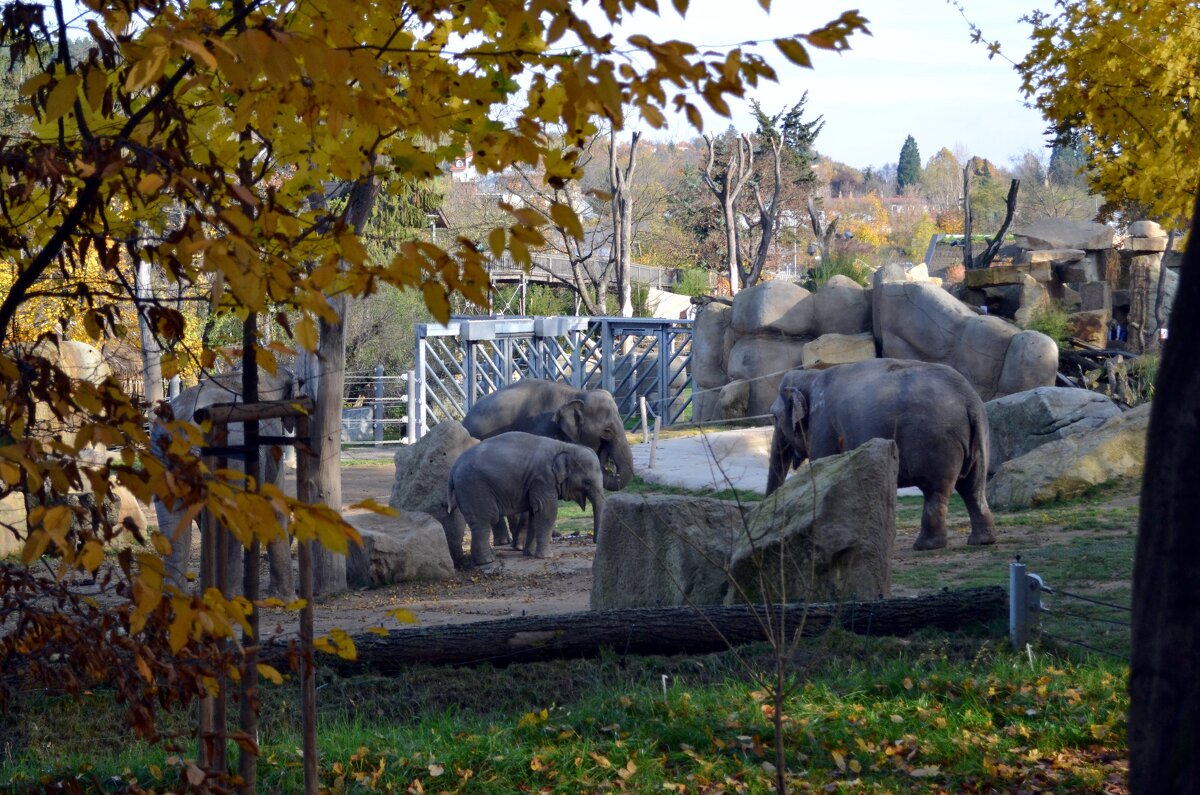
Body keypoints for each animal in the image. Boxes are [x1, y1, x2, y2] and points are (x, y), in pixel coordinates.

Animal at [152, 367, 297, 598]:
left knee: (172, 523)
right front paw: (286, 598)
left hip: (162, 459)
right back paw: (232, 597)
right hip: (232, 456)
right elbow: (274, 505)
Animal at [446, 432, 604, 569]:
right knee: (485, 520)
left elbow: (535, 513)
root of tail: (453, 468)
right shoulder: (543, 478)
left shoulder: (536, 482)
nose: (594, 542)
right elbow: (547, 510)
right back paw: (487, 560)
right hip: (474, 488)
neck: (564, 446)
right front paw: (546, 556)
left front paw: (530, 554)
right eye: (587, 482)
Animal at [763, 357, 998, 552]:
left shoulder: (823, 426)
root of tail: (969, 399)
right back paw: (982, 541)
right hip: (978, 438)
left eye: (774, 417)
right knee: (972, 487)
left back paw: (926, 546)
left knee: (936, 490)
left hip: (935, 440)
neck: (809, 376)